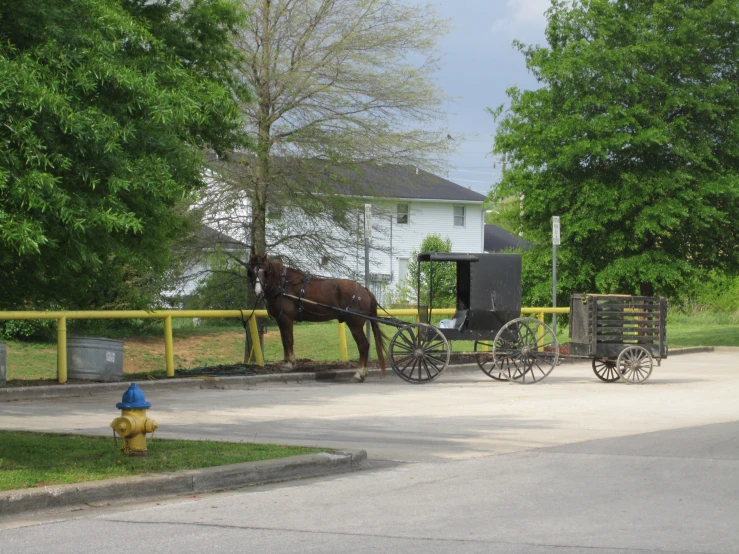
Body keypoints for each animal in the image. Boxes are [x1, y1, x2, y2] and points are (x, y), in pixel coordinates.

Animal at [247, 253, 388, 380]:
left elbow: (288, 339)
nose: (258, 292)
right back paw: (363, 372)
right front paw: (286, 362)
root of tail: (365, 290)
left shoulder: (286, 318)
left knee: (363, 345)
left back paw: (359, 373)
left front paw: (290, 364)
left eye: (265, 271)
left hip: (355, 324)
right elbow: (283, 340)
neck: (284, 284)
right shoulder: (280, 319)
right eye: (252, 271)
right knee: (365, 345)